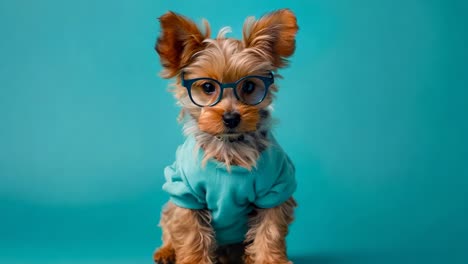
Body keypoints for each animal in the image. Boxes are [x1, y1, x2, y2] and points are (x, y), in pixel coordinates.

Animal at [154, 8, 300, 264]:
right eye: (208, 87)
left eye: (249, 86)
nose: (231, 118)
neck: (230, 147)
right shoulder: (185, 192)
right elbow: (191, 235)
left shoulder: (275, 189)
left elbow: (269, 232)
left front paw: (269, 259)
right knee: (168, 225)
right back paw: (166, 251)